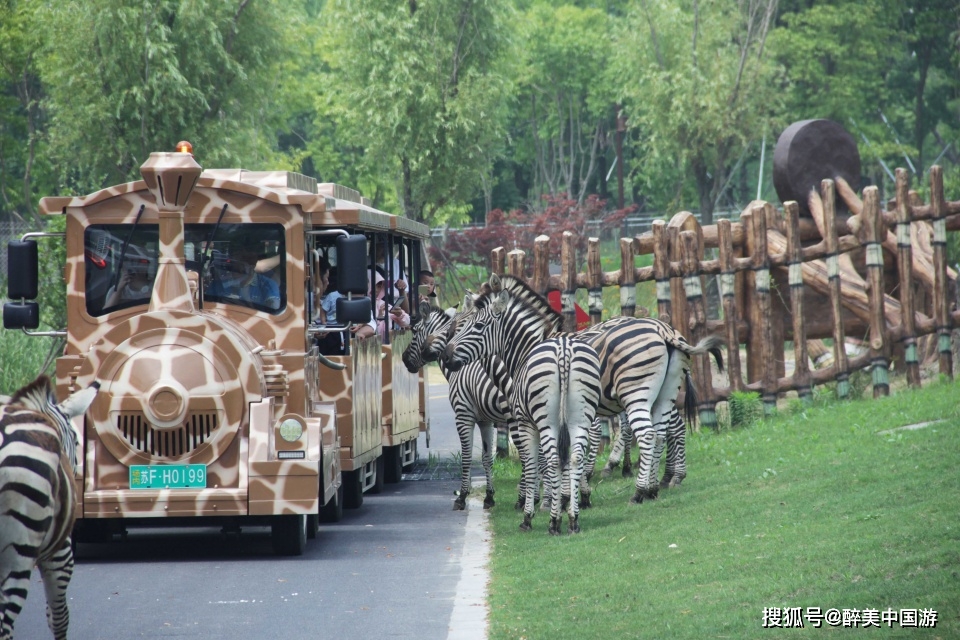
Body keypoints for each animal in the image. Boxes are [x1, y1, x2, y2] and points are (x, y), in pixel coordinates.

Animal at [400, 298, 512, 510]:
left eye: (415, 331)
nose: (403, 359)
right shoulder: (484, 420)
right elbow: (486, 458)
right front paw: (489, 497)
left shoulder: (463, 416)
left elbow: (466, 457)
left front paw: (462, 496)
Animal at [442, 278, 720, 508]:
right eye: (457, 326)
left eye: (476, 325)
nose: (445, 356)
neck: (530, 348)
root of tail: (663, 330)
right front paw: (574, 495)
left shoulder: (540, 411)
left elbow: (547, 455)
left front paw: (551, 499)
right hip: (664, 394)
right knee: (663, 432)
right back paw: (657, 485)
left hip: (635, 393)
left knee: (649, 434)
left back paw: (640, 491)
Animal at [444, 276, 600, 536]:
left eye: (476, 326)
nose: (446, 356)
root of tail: (564, 350)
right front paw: (554, 501)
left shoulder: (523, 421)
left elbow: (532, 462)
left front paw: (532, 510)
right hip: (580, 417)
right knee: (576, 457)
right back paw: (573, 518)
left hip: (547, 420)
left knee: (555, 459)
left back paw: (554, 521)